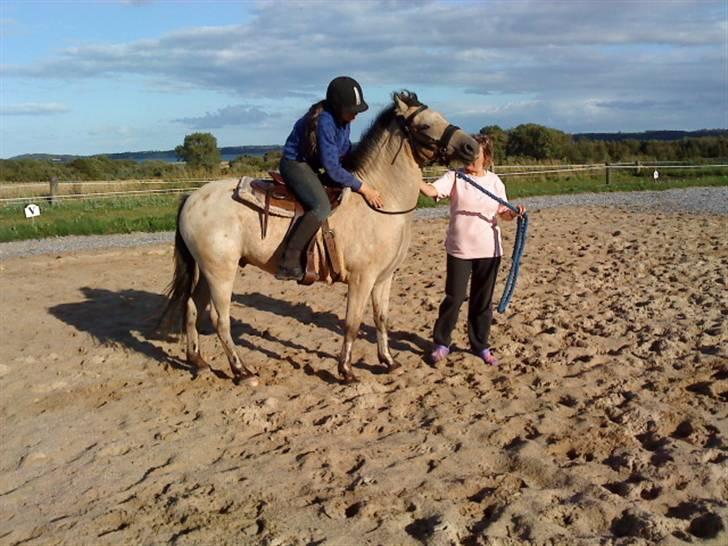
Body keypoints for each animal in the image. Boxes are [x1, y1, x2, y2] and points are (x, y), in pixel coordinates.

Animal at [161, 91, 478, 382]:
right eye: (425, 125)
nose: (472, 146)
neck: (381, 203)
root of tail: (192, 198)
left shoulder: (384, 278)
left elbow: (381, 318)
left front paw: (388, 361)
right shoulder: (362, 279)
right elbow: (352, 323)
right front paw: (346, 371)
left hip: (207, 271)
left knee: (192, 307)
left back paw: (198, 361)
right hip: (221, 273)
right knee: (219, 319)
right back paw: (242, 371)